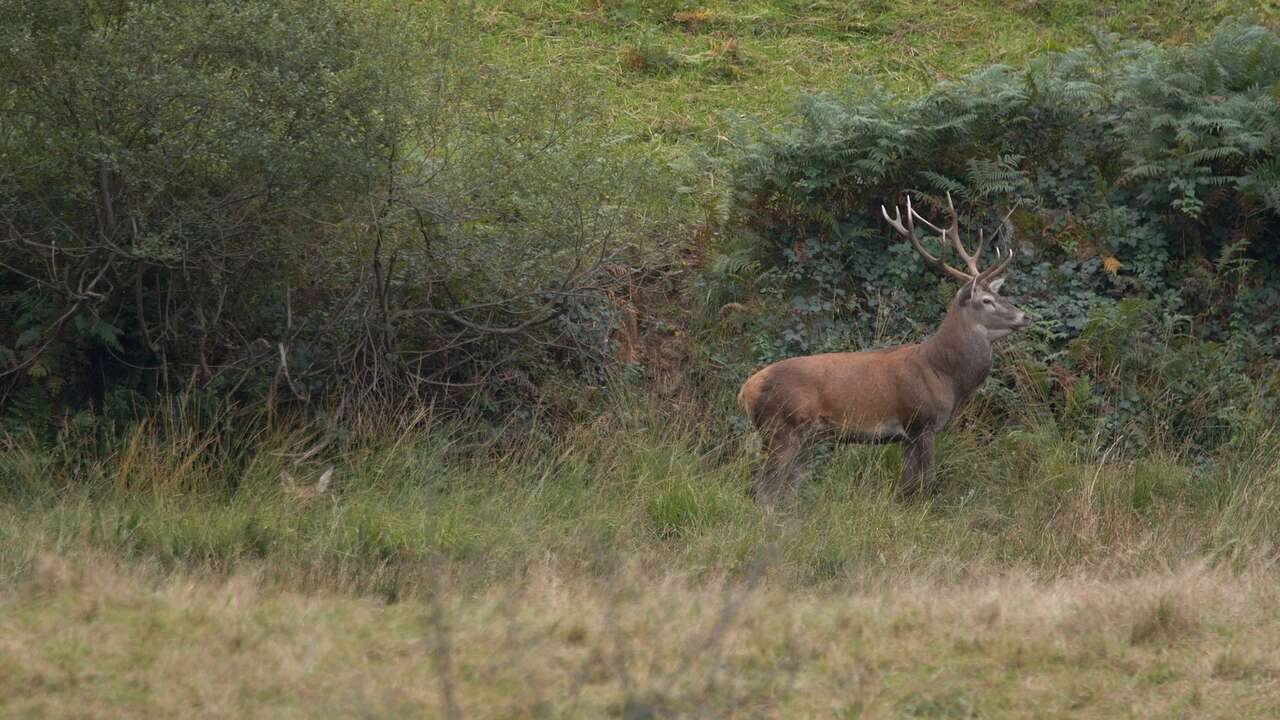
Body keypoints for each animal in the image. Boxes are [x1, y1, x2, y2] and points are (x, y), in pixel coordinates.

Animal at [738, 193, 1032, 502]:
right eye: (987, 300)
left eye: (999, 294)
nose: (1025, 317)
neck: (944, 375)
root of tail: (745, 391)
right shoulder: (921, 421)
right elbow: (926, 483)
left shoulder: (906, 436)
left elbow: (906, 487)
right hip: (781, 428)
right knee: (764, 489)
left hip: (798, 438)